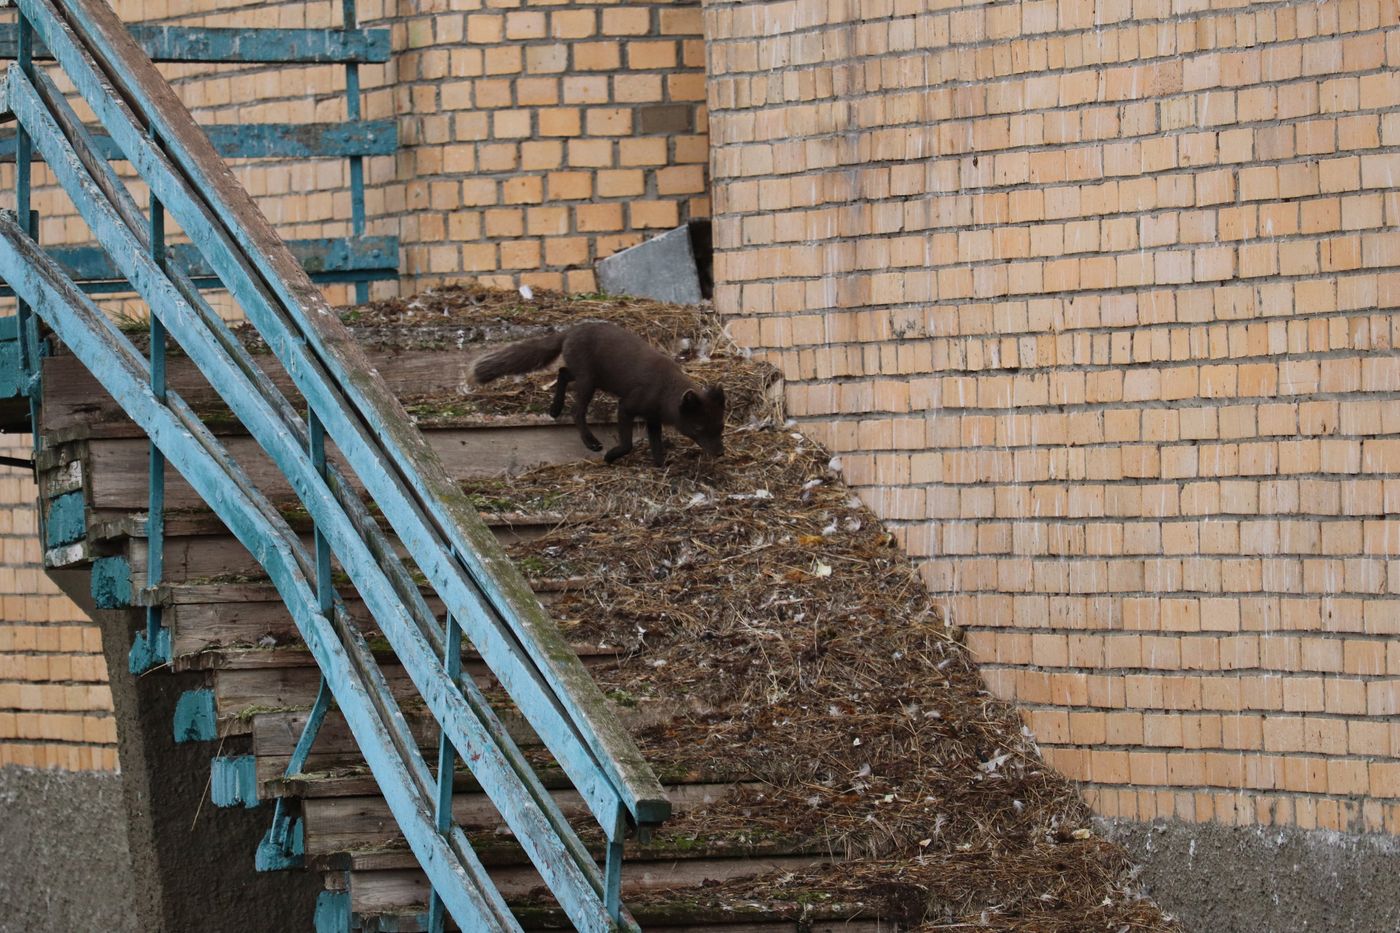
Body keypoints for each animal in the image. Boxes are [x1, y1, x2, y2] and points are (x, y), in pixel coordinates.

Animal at [471, 322, 725, 466]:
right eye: (698, 427)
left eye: (720, 427)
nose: (720, 453)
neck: (665, 391)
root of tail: (570, 332)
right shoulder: (626, 406)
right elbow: (627, 444)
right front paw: (610, 457)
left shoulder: (652, 418)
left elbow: (657, 445)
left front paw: (660, 466)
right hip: (588, 381)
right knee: (576, 410)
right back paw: (591, 442)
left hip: (591, 378)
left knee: (563, 373)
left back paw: (554, 409)